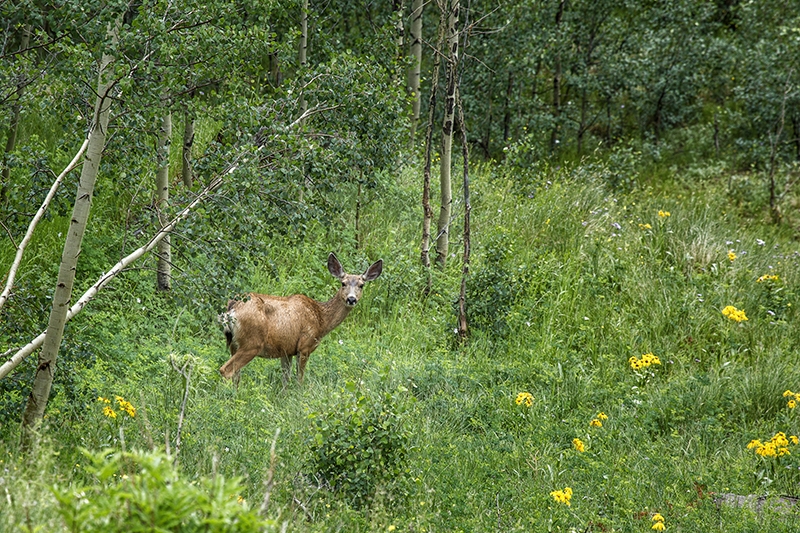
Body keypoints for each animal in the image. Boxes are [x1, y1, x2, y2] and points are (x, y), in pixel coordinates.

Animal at [218, 252, 383, 385]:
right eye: (343, 283)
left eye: (361, 285)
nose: (351, 299)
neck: (321, 319)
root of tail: (232, 308)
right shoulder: (305, 346)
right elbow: (299, 379)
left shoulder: (286, 350)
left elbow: (285, 379)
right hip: (252, 343)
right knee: (225, 370)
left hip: (234, 344)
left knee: (235, 374)